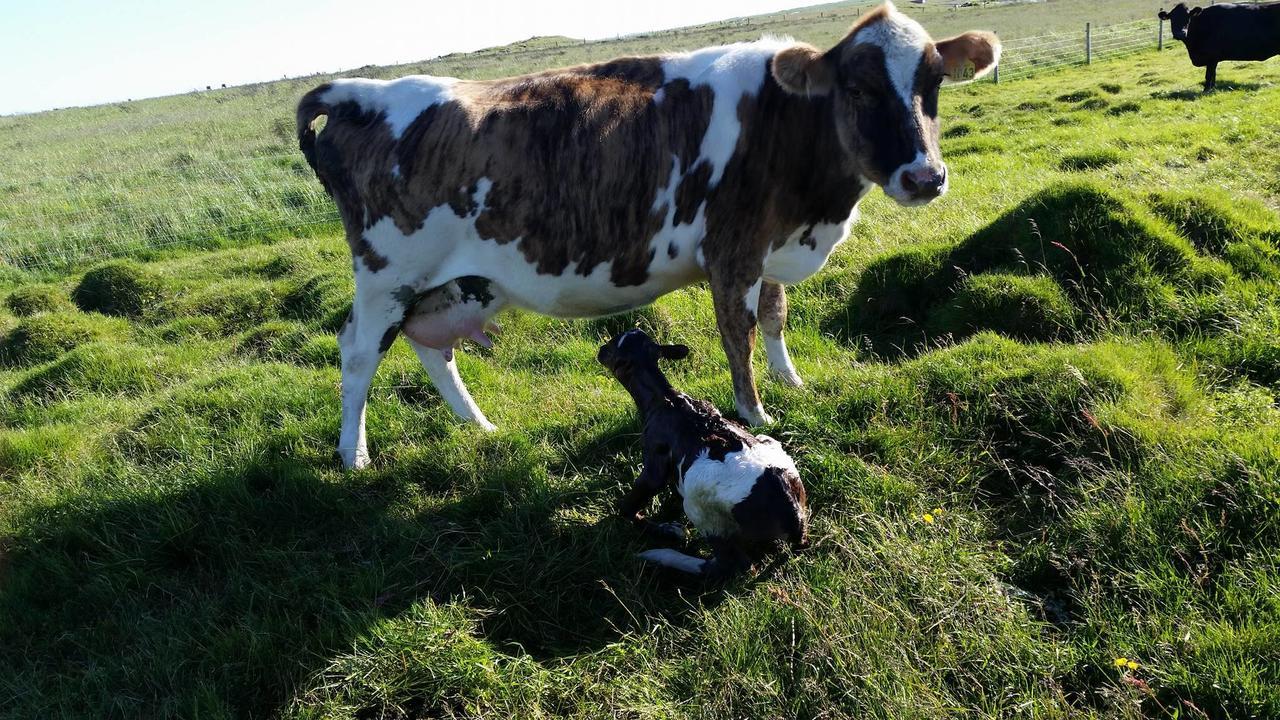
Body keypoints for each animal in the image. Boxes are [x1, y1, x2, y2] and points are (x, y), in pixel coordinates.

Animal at [296, 0, 998, 468]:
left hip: (453, 284)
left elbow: (775, 318)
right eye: (856, 87)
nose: (925, 176)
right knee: (358, 353)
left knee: (431, 348)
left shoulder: (771, 246)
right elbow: (740, 334)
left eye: (933, 82)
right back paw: (353, 456)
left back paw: (479, 426)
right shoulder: (732, 248)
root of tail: (356, 91)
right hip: (387, 275)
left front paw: (794, 385)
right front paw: (757, 415)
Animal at [593, 330, 803, 576]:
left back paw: (664, 555)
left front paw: (667, 529)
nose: (599, 351)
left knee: (731, 566)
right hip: (769, 444)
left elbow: (628, 505)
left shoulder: (654, 458)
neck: (665, 398)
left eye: (611, 347)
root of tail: (792, 514)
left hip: (703, 512)